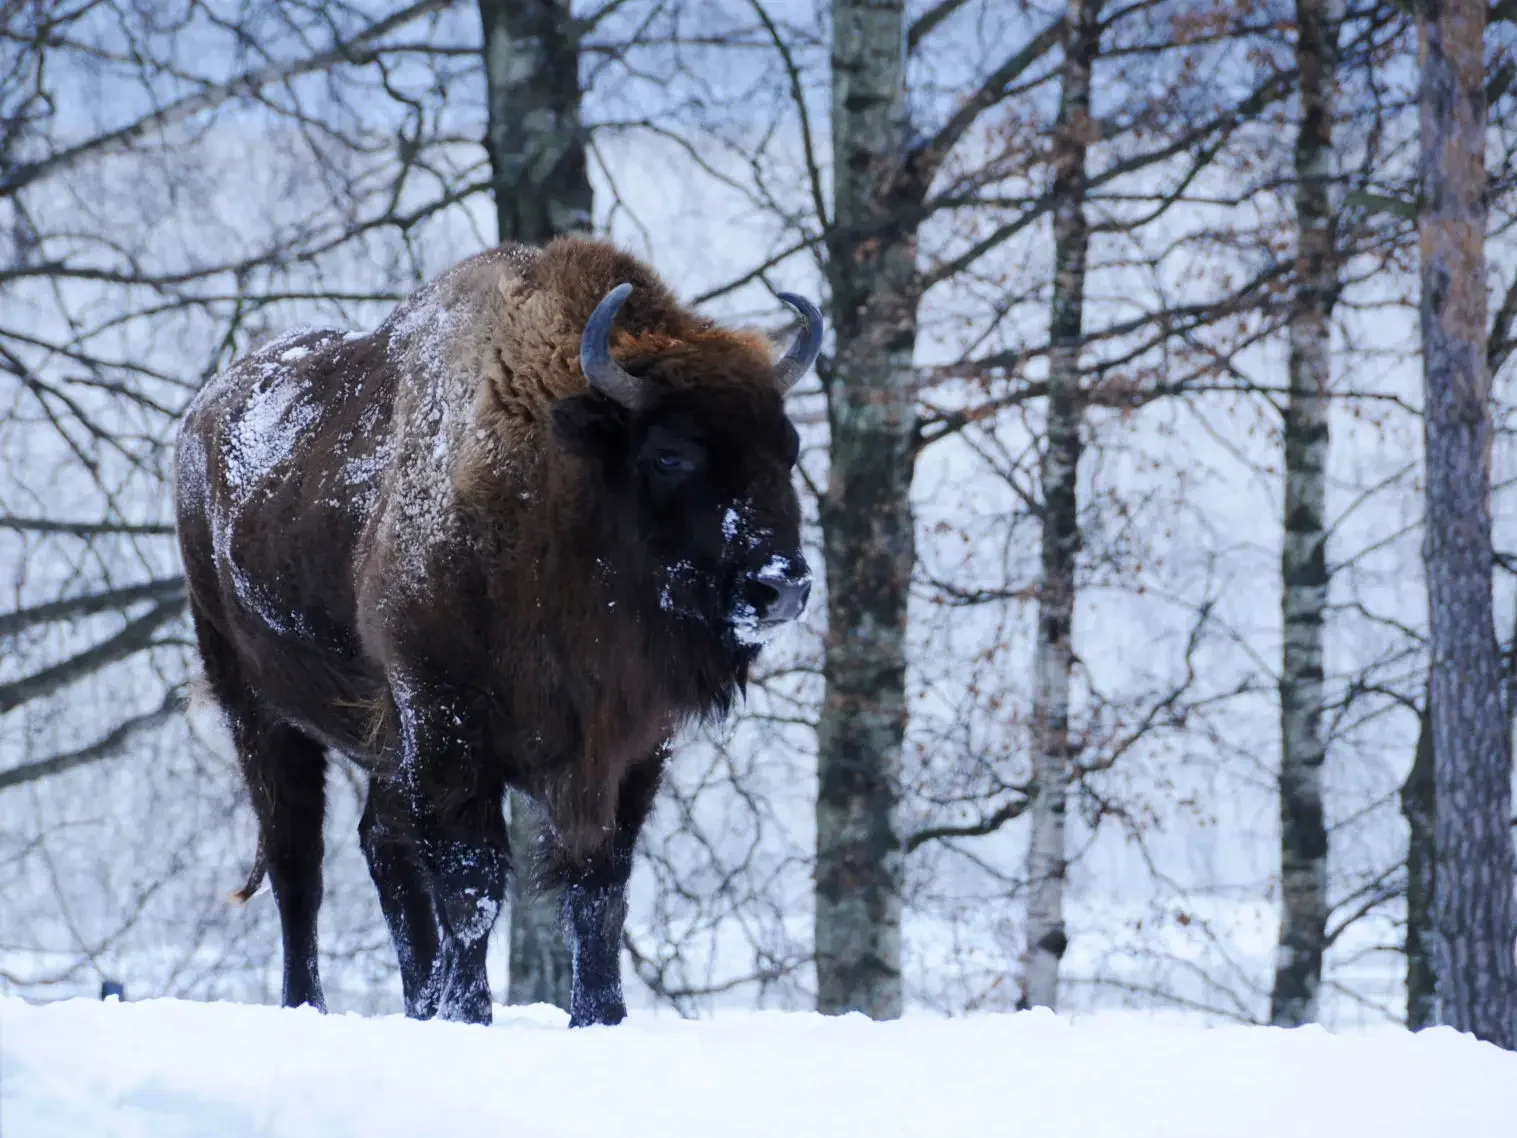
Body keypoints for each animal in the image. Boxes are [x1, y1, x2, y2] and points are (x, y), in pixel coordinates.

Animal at [174, 236, 819, 1031]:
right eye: (670, 453)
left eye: (788, 449)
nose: (781, 585)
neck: (560, 486)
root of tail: (200, 416)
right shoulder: (444, 720)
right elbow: (473, 883)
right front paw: (470, 1013)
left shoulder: (631, 745)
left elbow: (600, 885)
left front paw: (599, 1016)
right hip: (258, 709)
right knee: (300, 859)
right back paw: (310, 1004)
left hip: (380, 744)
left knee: (382, 848)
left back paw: (419, 1004)